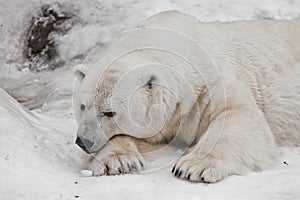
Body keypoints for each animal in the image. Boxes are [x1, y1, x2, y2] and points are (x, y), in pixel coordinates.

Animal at [73, 11, 300, 183]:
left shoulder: (210, 82)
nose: (82, 141)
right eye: (83, 106)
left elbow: (237, 115)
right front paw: (120, 162)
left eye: (110, 112)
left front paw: (193, 166)